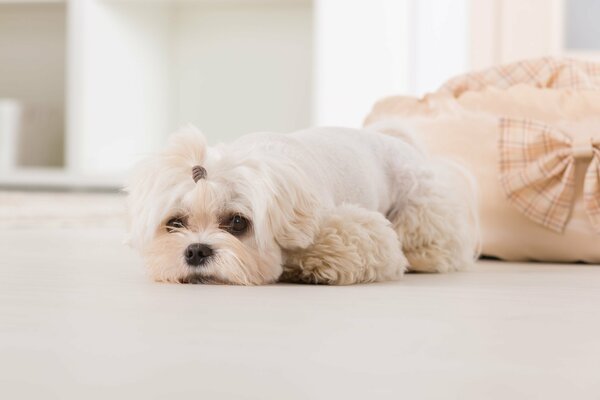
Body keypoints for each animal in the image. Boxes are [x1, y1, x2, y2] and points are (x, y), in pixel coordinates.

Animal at [126, 126, 478, 286]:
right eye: (175, 223)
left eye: (237, 222)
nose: (196, 251)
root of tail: (395, 136)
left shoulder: (358, 230)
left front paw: (309, 265)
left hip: (421, 201)